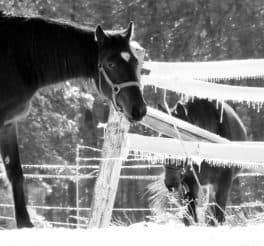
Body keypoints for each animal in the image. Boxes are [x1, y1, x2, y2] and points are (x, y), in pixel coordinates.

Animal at [0, 13, 146, 228]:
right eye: (111, 64)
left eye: (135, 61)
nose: (139, 110)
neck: (15, 57)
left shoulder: (8, 124)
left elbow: (15, 172)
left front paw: (25, 224)